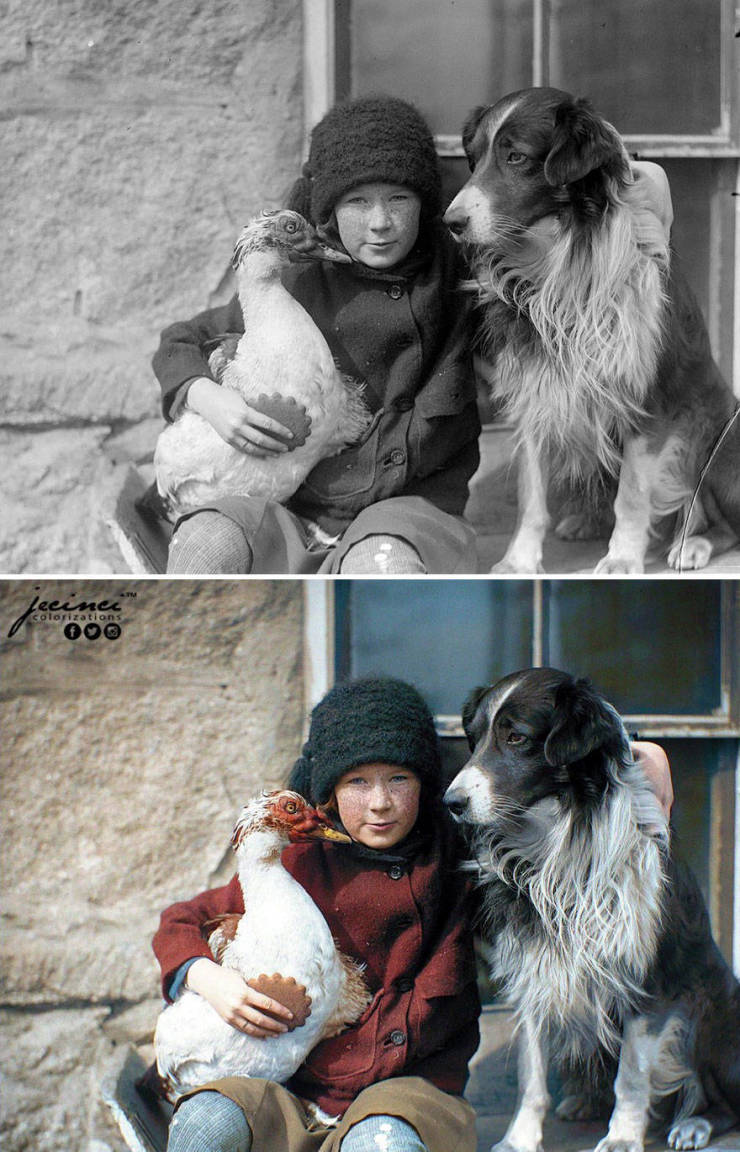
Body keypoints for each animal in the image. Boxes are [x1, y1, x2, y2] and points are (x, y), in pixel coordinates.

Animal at [442, 87, 737, 573]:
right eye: (475, 157)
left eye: (516, 156)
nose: (451, 223)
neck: (560, 257)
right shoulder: (538, 389)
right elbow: (531, 496)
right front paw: (520, 560)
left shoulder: (646, 399)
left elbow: (633, 496)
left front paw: (622, 560)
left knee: (722, 521)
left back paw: (692, 543)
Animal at [442, 668, 737, 1152]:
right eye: (475, 737)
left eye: (516, 737)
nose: (451, 803)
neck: (558, 838)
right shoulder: (536, 971)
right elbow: (531, 1075)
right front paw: (520, 1138)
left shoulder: (646, 980)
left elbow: (633, 1076)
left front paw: (622, 1138)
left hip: (712, 1007)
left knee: (723, 1099)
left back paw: (694, 1123)